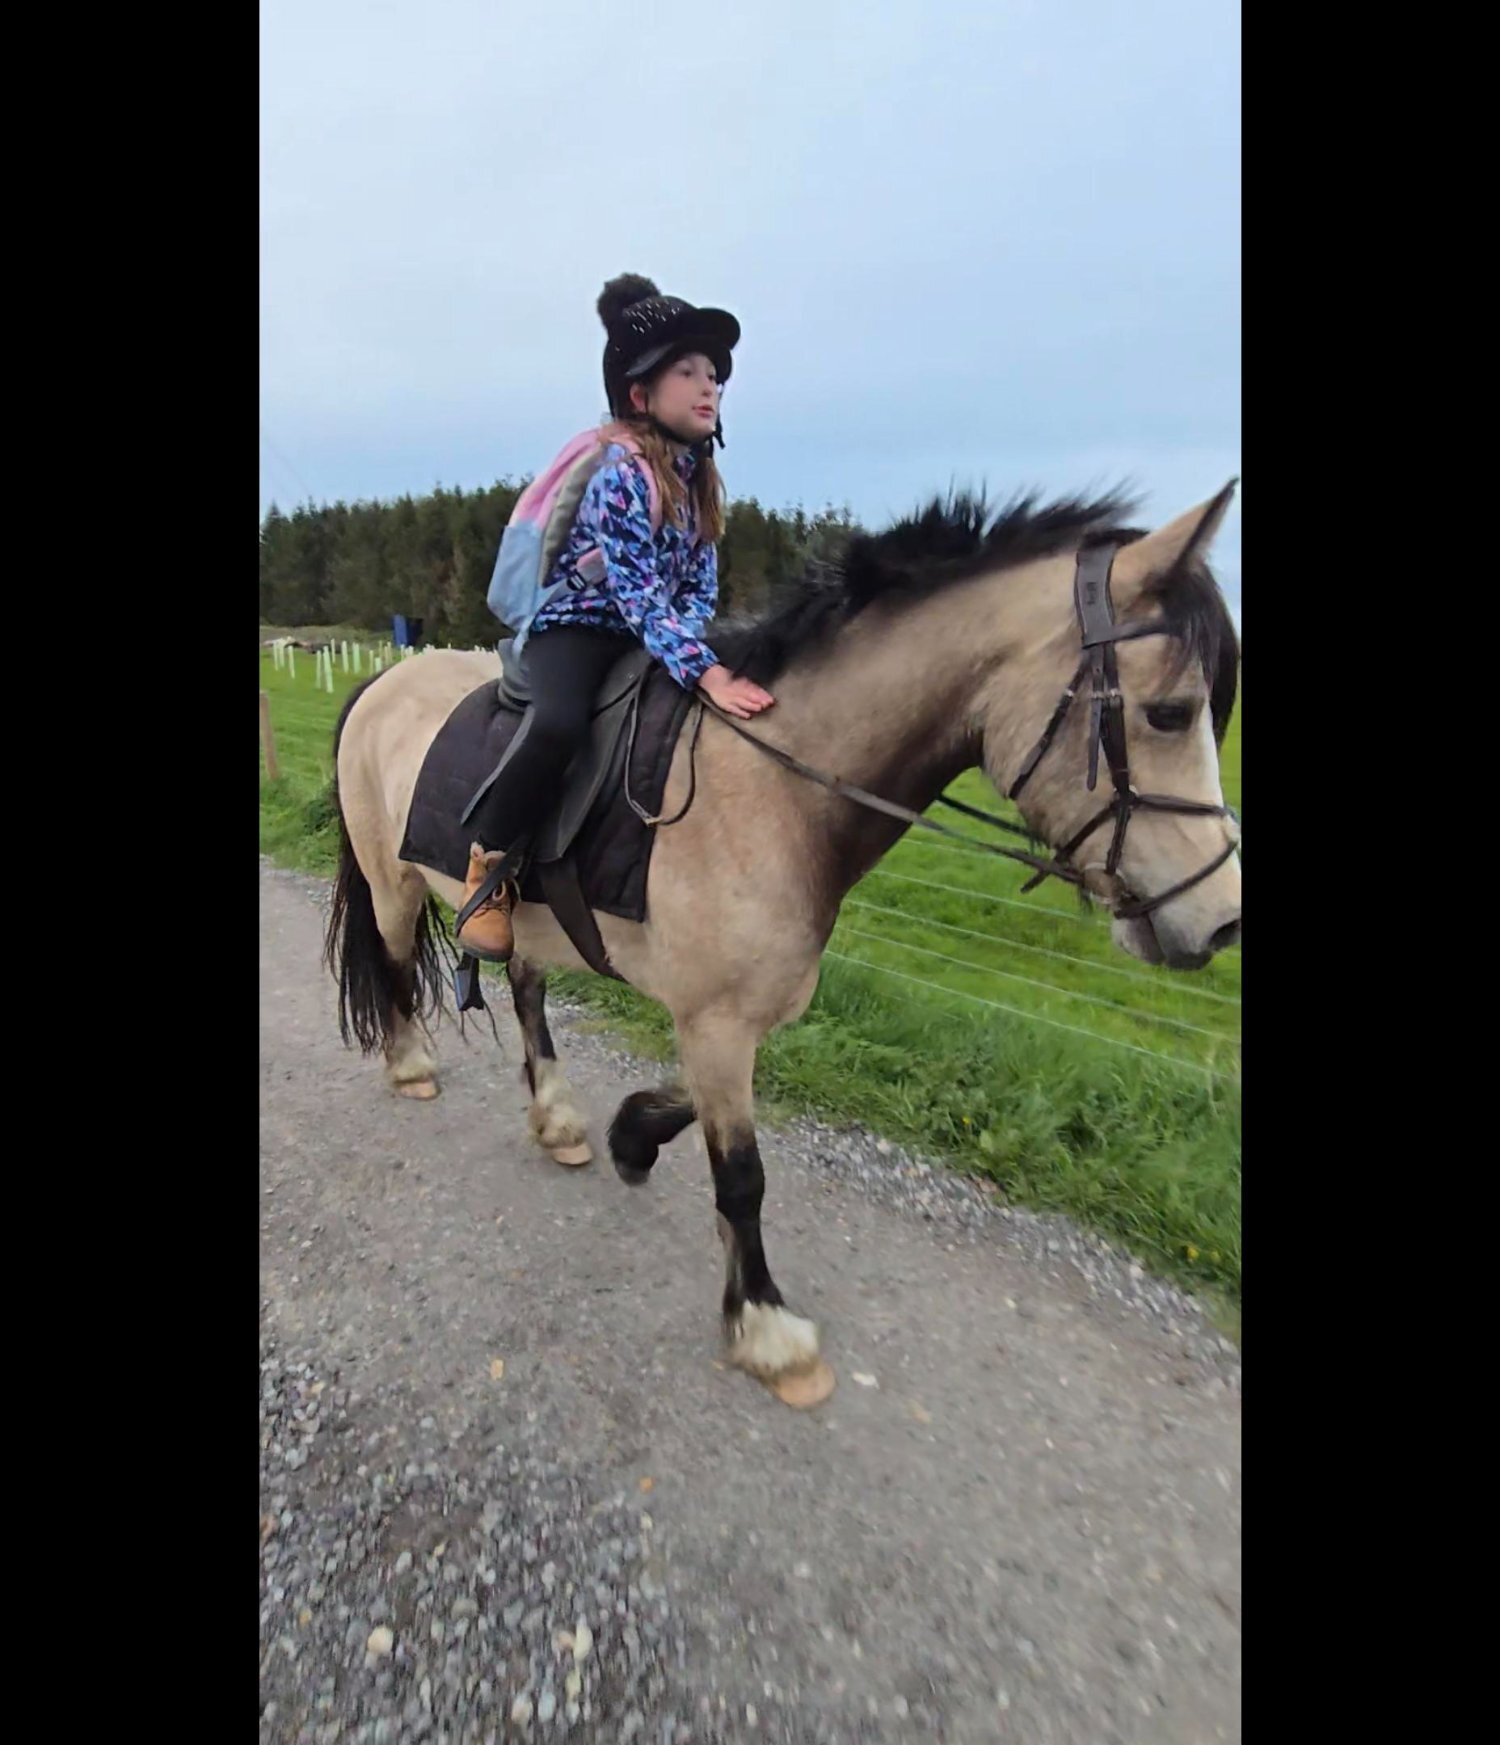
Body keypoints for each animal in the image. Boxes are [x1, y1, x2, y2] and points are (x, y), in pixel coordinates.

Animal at [323, 485, 1241, 1407]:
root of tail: (382, 680)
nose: (1222, 919)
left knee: (524, 989)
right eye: (1170, 712)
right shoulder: (718, 1019)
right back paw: (412, 1066)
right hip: (392, 885)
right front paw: (767, 1328)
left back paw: (559, 1118)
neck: (778, 788)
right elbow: (742, 1175)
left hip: (530, 922)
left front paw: (632, 1135)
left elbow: (692, 1105)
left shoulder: (739, 1011)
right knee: (398, 968)